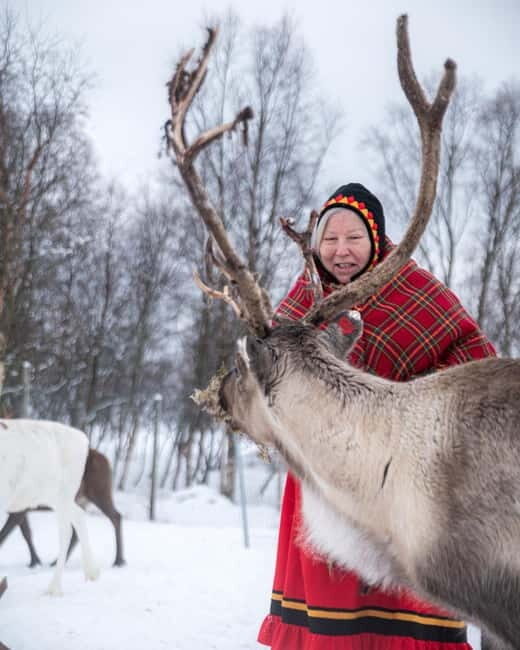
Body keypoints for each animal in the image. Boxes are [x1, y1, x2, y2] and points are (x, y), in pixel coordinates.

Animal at [0, 418, 99, 595]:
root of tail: (84, 440)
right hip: (54, 498)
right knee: (79, 515)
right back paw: (91, 573)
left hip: (64, 493)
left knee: (66, 531)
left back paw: (54, 588)